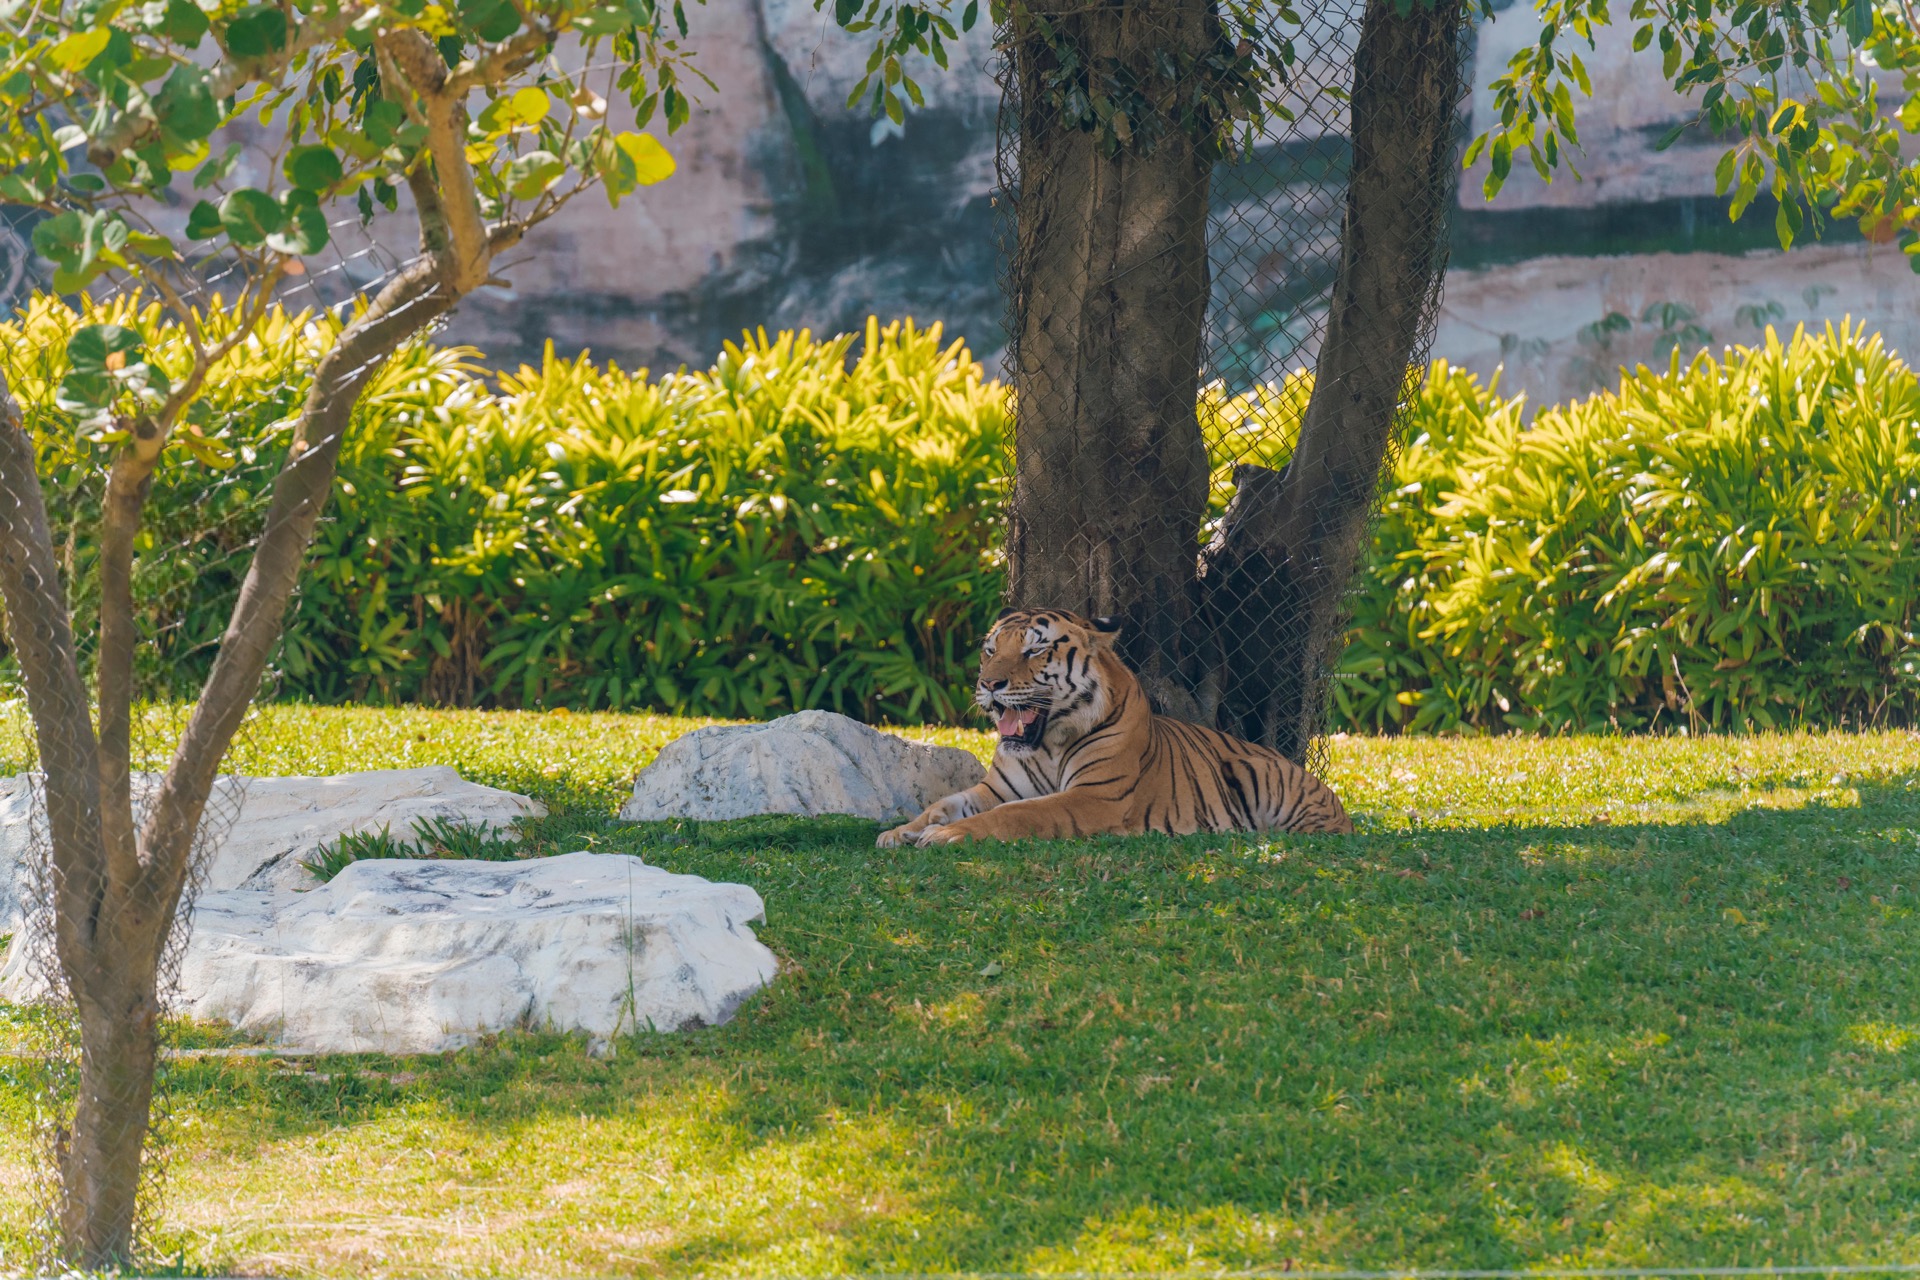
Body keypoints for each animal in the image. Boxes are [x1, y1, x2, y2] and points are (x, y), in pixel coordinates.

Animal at [879, 610, 1359, 852]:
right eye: (990, 650)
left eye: (1034, 650)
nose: (988, 684)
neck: (1047, 742)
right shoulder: (995, 789)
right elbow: (942, 804)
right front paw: (901, 832)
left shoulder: (1095, 796)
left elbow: (1017, 815)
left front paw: (944, 836)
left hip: (1254, 769)